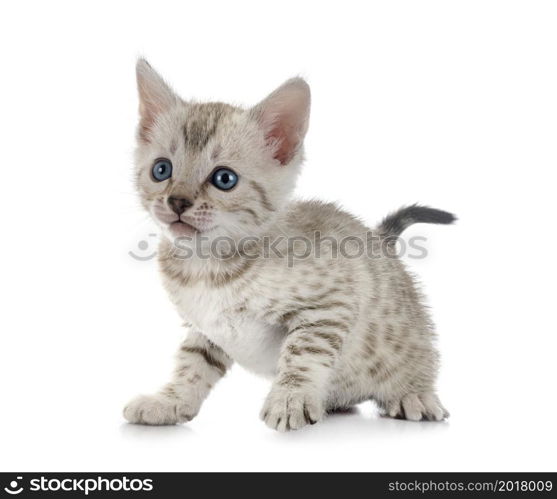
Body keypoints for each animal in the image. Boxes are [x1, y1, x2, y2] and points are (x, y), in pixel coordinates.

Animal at [124, 60, 454, 432]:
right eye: (161, 169)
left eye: (224, 179)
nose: (177, 201)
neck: (205, 267)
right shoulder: (205, 328)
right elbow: (191, 364)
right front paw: (169, 401)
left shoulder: (331, 303)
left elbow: (303, 354)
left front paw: (289, 399)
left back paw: (414, 395)